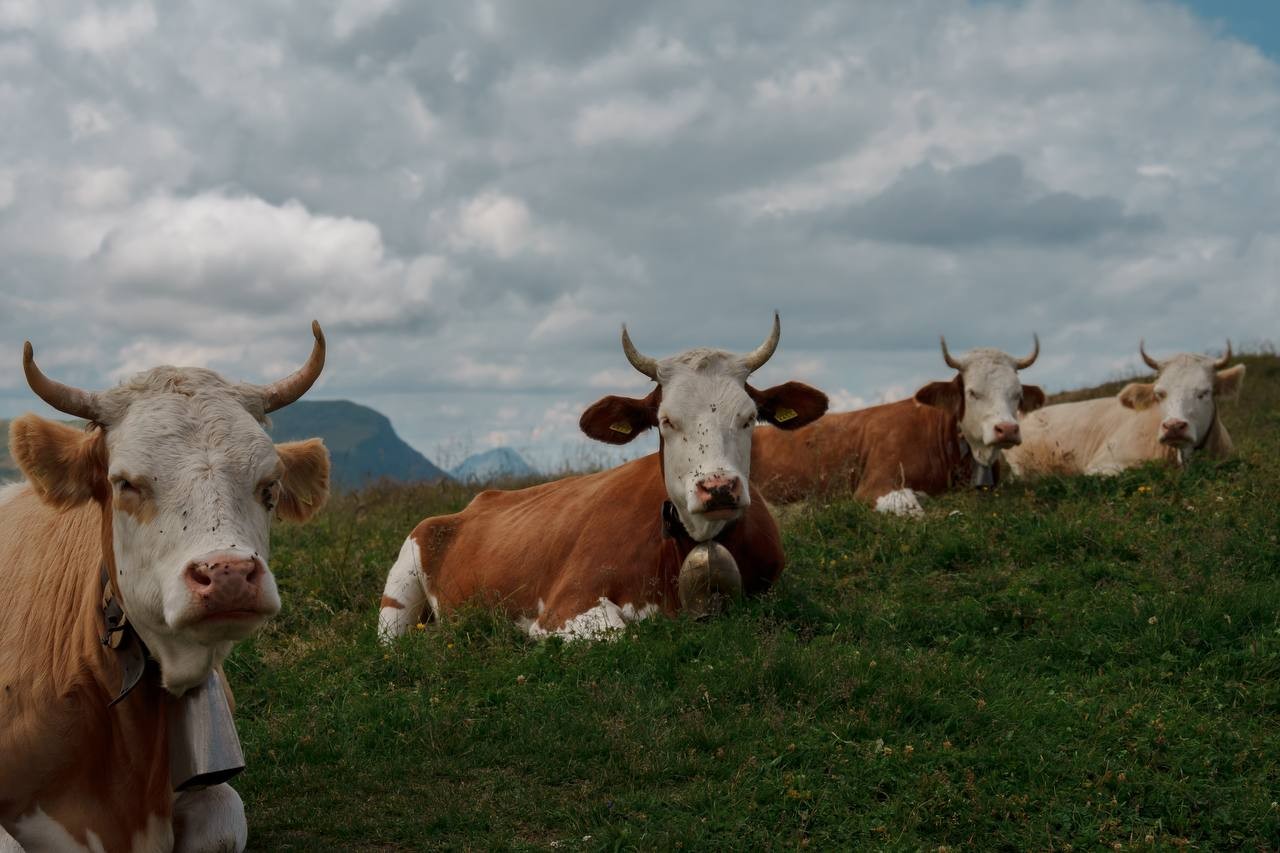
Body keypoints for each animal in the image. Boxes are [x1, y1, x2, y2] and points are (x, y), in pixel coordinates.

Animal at [378, 315, 828, 642]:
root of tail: (479, 500)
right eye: (666, 420)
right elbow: (621, 635)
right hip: (398, 592)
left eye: (749, 417)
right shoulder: (565, 606)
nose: (718, 488)